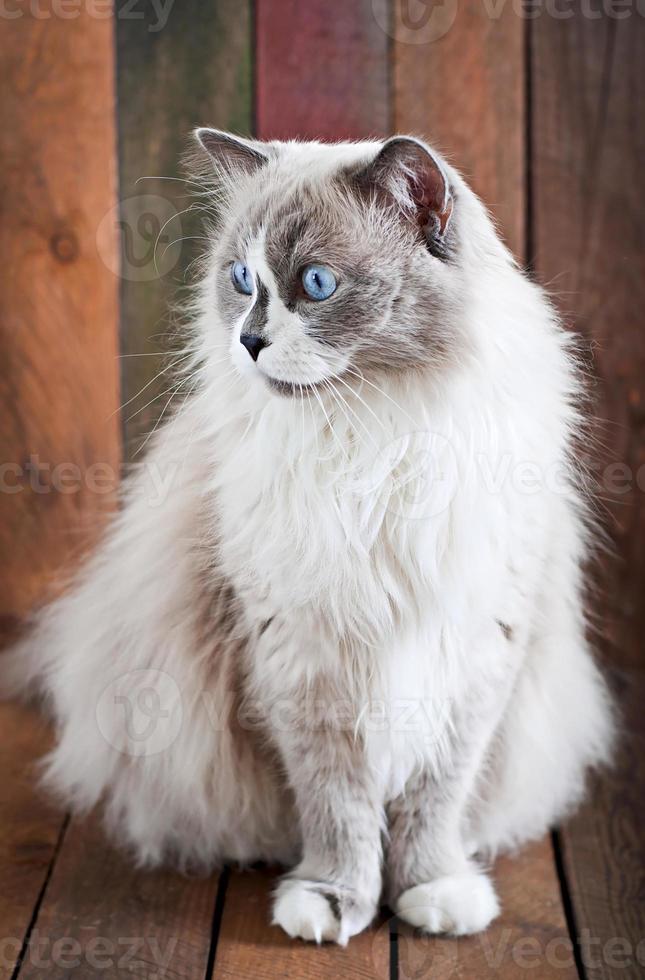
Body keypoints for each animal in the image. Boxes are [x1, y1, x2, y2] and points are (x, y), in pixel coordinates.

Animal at [2, 134, 612, 944]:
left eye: (316, 284)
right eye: (241, 280)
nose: (249, 340)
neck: (370, 438)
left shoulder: (476, 651)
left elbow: (434, 800)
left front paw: (432, 892)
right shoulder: (302, 656)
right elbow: (337, 805)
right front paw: (329, 901)